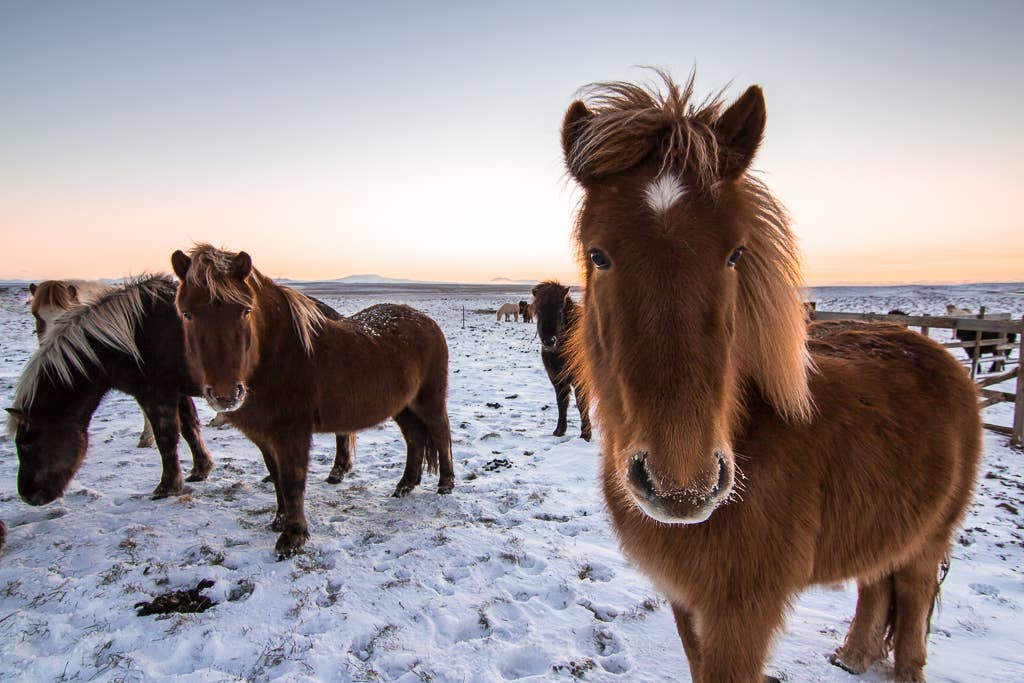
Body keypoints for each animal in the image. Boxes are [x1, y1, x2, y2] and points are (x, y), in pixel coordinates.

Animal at [171, 244, 454, 557]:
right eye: (186, 313)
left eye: (245, 310)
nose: (226, 394)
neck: (278, 356)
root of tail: (427, 322)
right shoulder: (264, 436)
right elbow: (277, 477)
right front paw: (279, 521)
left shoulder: (292, 433)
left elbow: (293, 480)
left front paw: (292, 537)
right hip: (402, 407)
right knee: (414, 439)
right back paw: (405, 485)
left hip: (429, 400)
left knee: (440, 433)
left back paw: (445, 484)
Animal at [531, 281, 590, 441]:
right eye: (539, 310)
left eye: (559, 309)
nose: (549, 341)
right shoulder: (557, 379)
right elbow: (561, 402)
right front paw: (559, 430)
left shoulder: (581, 380)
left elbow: (582, 403)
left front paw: (586, 434)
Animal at [560, 72, 981, 683]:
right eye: (598, 255)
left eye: (736, 253)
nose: (681, 485)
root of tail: (941, 356)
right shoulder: (687, 602)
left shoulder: (743, 613)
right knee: (876, 582)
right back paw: (853, 656)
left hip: (931, 539)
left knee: (913, 598)